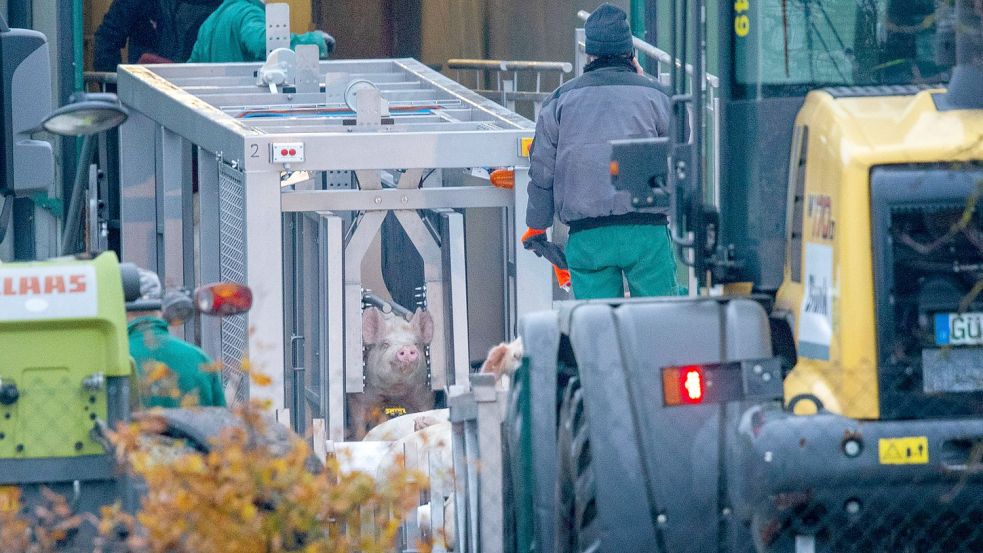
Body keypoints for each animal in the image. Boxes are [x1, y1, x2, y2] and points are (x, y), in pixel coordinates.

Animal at [348, 306, 436, 440]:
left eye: (416, 343)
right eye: (385, 344)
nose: (406, 348)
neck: (395, 394)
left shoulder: (424, 396)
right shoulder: (358, 398)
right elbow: (359, 425)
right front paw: (359, 439)